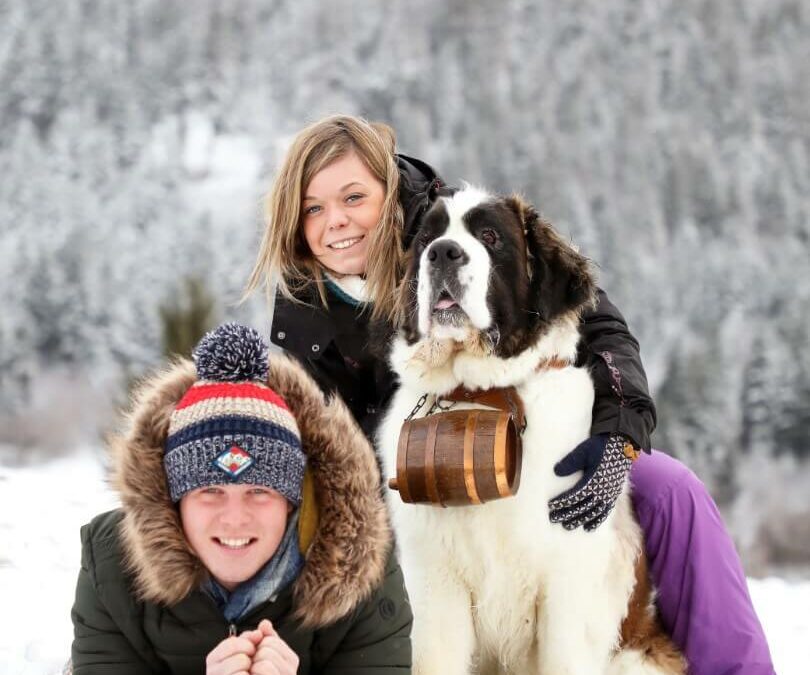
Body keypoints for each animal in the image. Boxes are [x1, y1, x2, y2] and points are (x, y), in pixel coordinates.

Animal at [374, 186, 680, 675]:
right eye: (426, 239)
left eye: (491, 237)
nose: (443, 252)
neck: (484, 394)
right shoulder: (435, 585)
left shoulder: (565, 589)